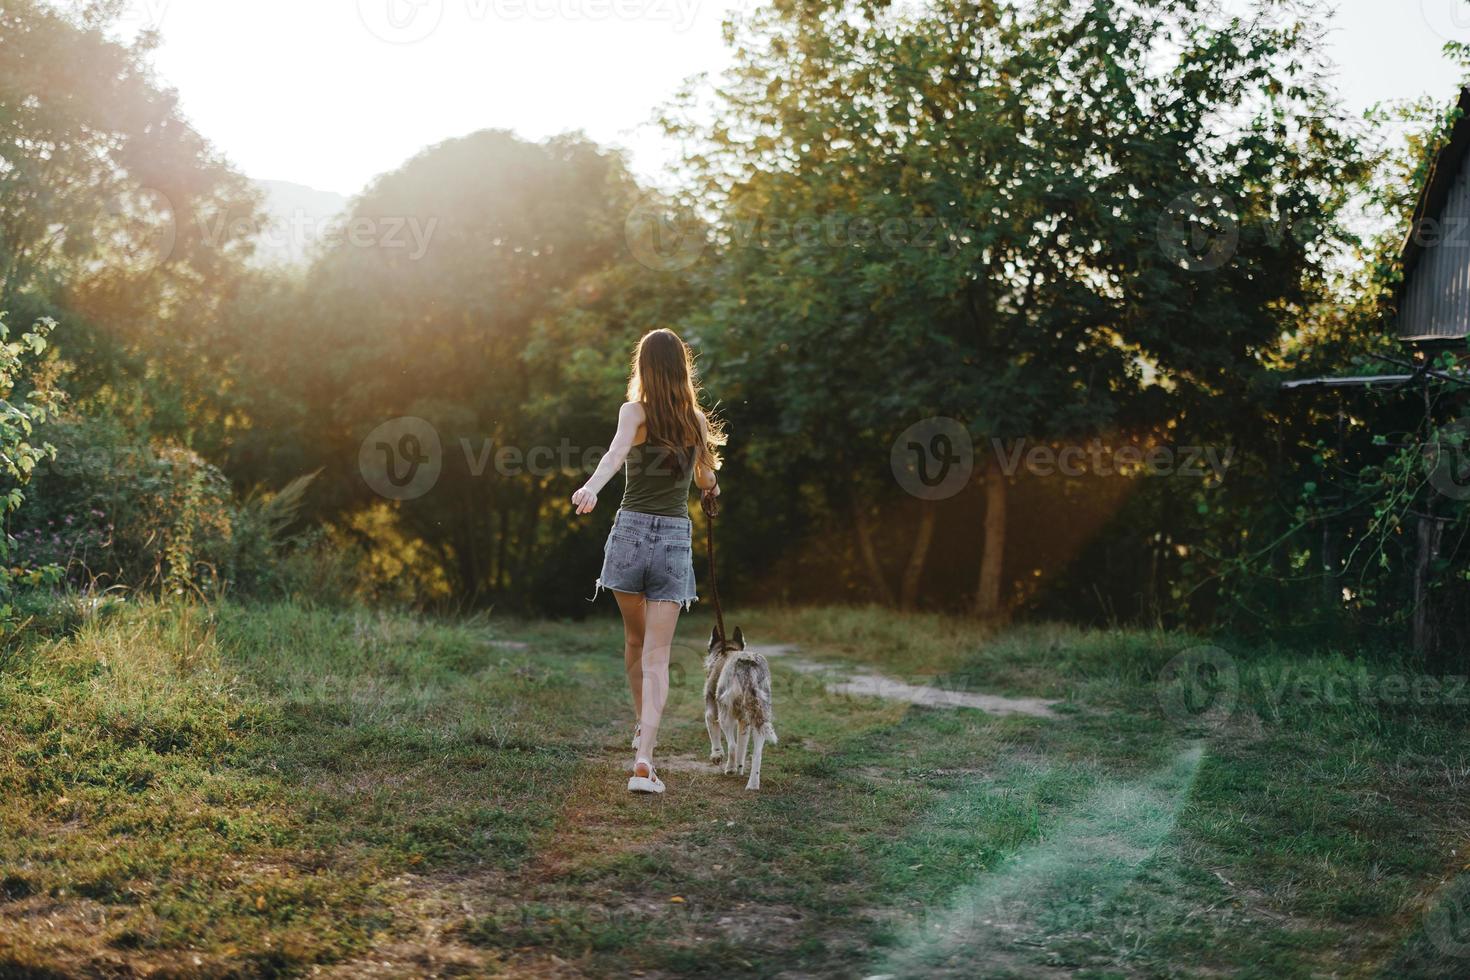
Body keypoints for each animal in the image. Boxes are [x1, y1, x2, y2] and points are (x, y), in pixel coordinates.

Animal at [702, 628, 776, 787]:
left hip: (724, 713)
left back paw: (730, 769)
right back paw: (752, 785)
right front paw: (740, 769)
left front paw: (716, 756)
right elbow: (743, 746)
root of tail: (748, 665)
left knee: (732, 746)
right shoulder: (744, 722)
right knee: (756, 754)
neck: (726, 651)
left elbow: (714, 734)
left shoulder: (711, 712)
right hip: (760, 715)